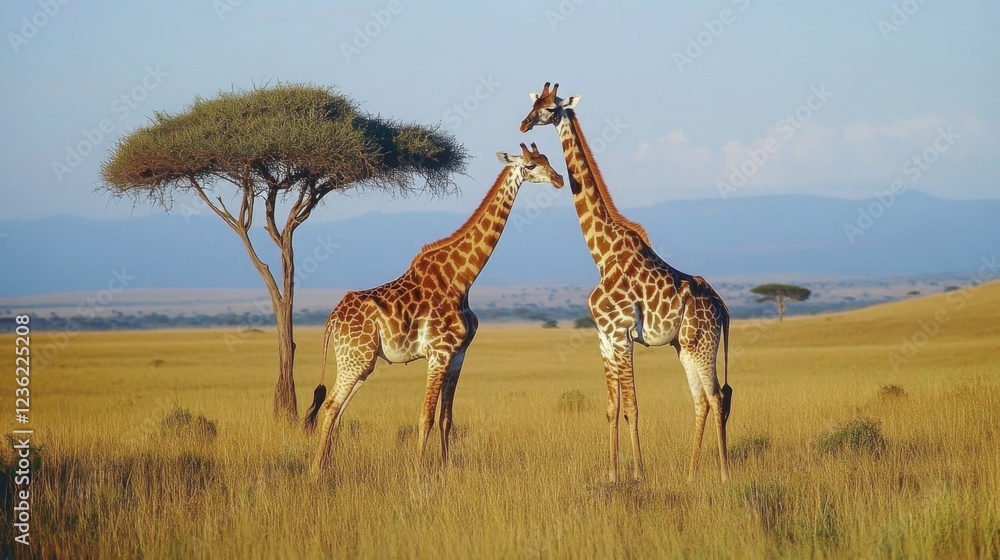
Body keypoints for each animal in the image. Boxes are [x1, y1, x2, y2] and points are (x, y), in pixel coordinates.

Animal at [303, 143, 564, 475]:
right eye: (530, 165)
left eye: (547, 159)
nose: (559, 179)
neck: (462, 279)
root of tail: (331, 320)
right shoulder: (438, 353)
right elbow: (425, 417)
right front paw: (418, 471)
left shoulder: (458, 355)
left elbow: (446, 418)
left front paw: (446, 467)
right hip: (355, 359)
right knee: (332, 404)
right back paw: (315, 471)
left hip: (360, 362)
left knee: (338, 407)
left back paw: (325, 466)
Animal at [520, 83, 733, 483]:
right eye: (533, 103)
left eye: (551, 108)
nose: (523, 124)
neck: (601, 253)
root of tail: (723, 309)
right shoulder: (603, 337)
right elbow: (611, 407)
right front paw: (612, 474)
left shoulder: (621, 334)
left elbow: (632, 406)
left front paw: (638, 474)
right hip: (683, 346)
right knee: (701, 399)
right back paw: (691, 473)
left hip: (702, 344)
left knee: (716, 396)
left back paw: (725, 474)